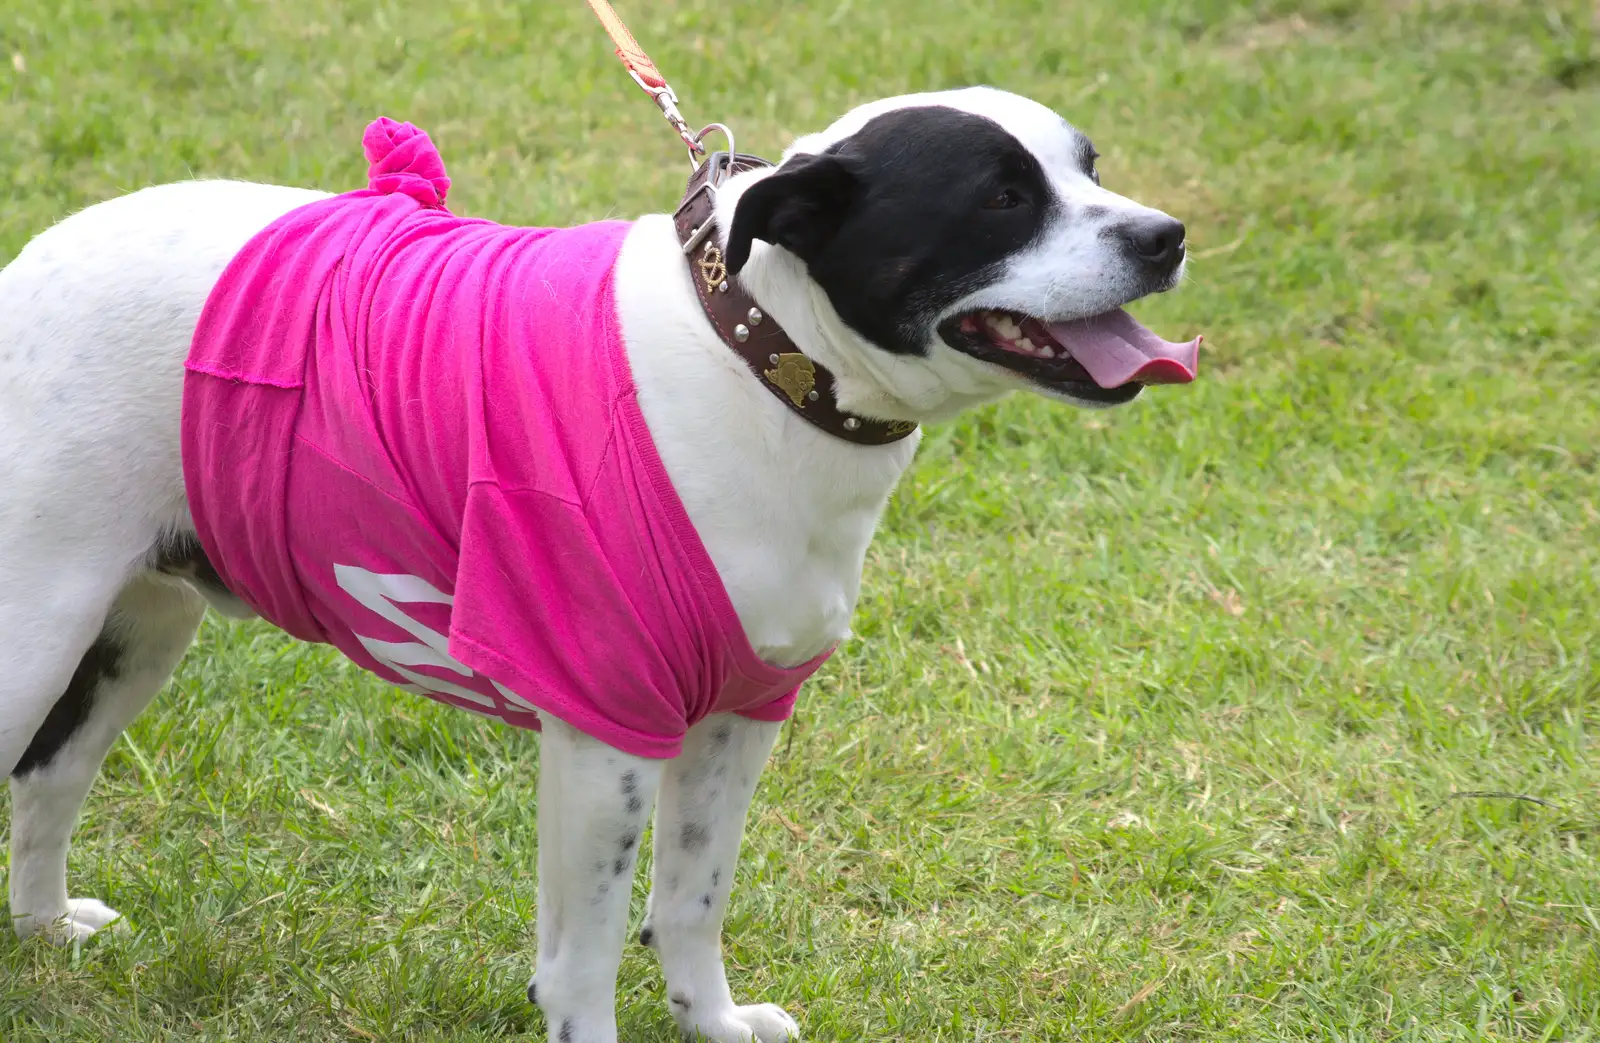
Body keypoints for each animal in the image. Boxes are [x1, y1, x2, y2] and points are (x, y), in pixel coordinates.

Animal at [0, 89, 1203, 1043]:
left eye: (1089, 170)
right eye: (1000, 198)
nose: (1166, 235)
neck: (763, 357)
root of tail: (29, 264)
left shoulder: (736, 715)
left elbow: (690, 899)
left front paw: (713, 1021)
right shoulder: (604, 728)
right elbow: (586, 954)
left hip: (141, 625)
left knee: (52, 778)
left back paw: (46, 926)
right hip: (37, 630)